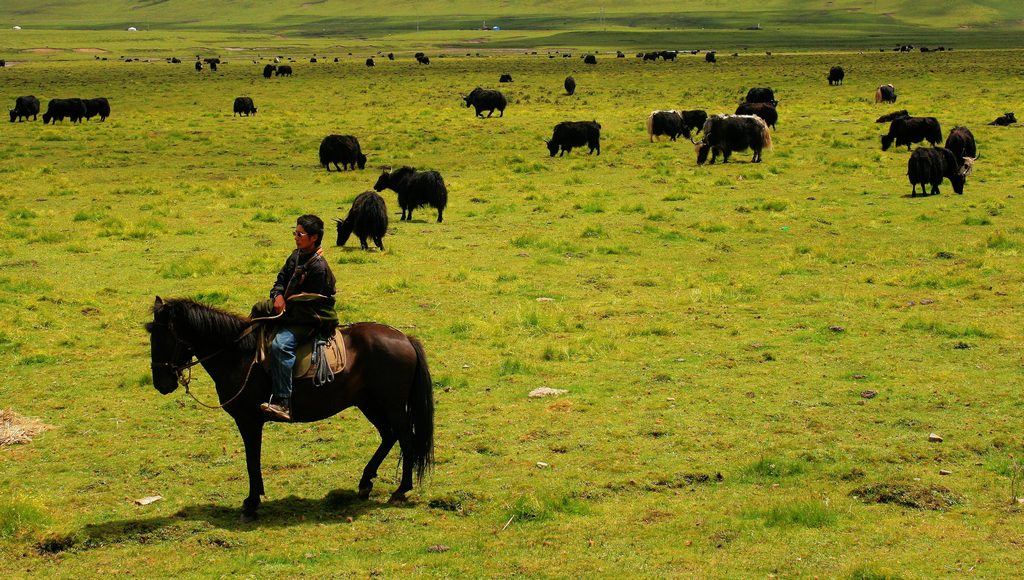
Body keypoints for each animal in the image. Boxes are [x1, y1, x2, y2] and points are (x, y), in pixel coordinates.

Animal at [146, 297, 434, 520]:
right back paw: (365, 483)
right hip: (369, 403)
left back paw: (400, 490)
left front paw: (252, 503)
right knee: (389, 435)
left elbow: (252, 459)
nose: (161, 382)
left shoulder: (249, 420)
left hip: (392, 404)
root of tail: (405, 338)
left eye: (164, 337)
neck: (238, 354)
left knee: (406, 439)